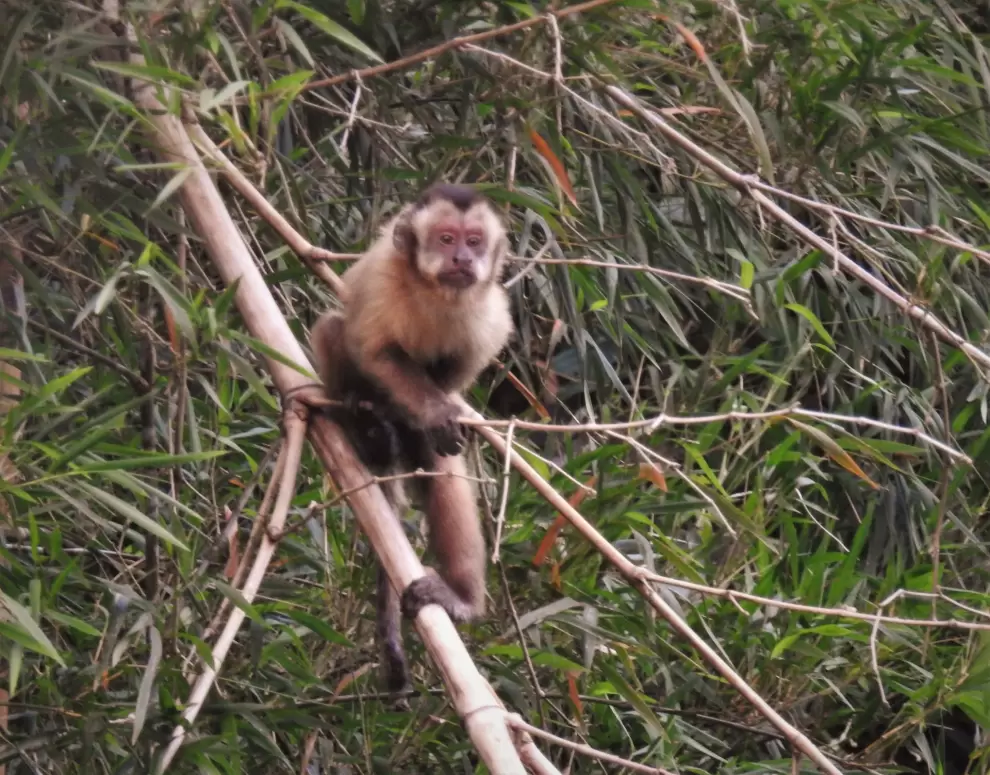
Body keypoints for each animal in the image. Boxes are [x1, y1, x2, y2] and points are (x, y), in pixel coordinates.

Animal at [309, 183, 513, 694]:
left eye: (474, 241)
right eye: (445, 238)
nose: (462, 258)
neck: (436, 293)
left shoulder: (490, 314)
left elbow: (453, 376)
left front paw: (437, 411)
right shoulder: (385, 279)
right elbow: (376, 352)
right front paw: (433, 412)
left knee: (440, 470)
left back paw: (461, 599)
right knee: (334, 330)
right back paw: (368, 425)